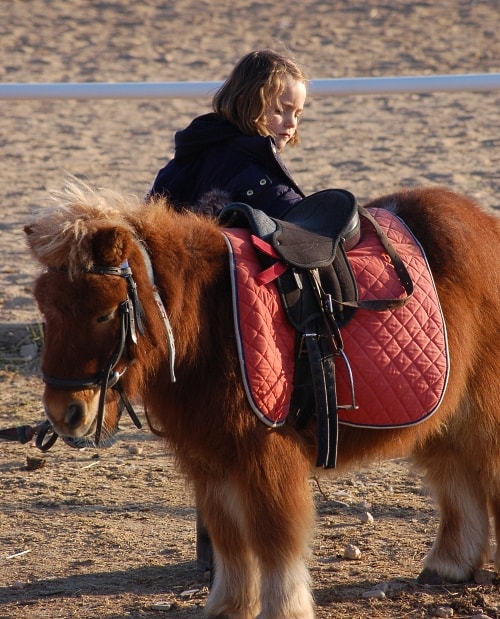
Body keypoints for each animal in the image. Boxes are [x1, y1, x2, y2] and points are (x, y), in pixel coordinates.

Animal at [25, 179, 498, 619]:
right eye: (46, 310)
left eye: (105, 313)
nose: (65, 414)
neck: (212, 320)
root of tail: (483, 225)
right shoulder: (213, 461)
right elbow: (229, 539)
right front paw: (229, 606)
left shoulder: (262, 455)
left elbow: (273, 537)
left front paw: (283, 608)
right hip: (443, 416)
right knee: (456, 479)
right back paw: (449, 564)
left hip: (479, 412)